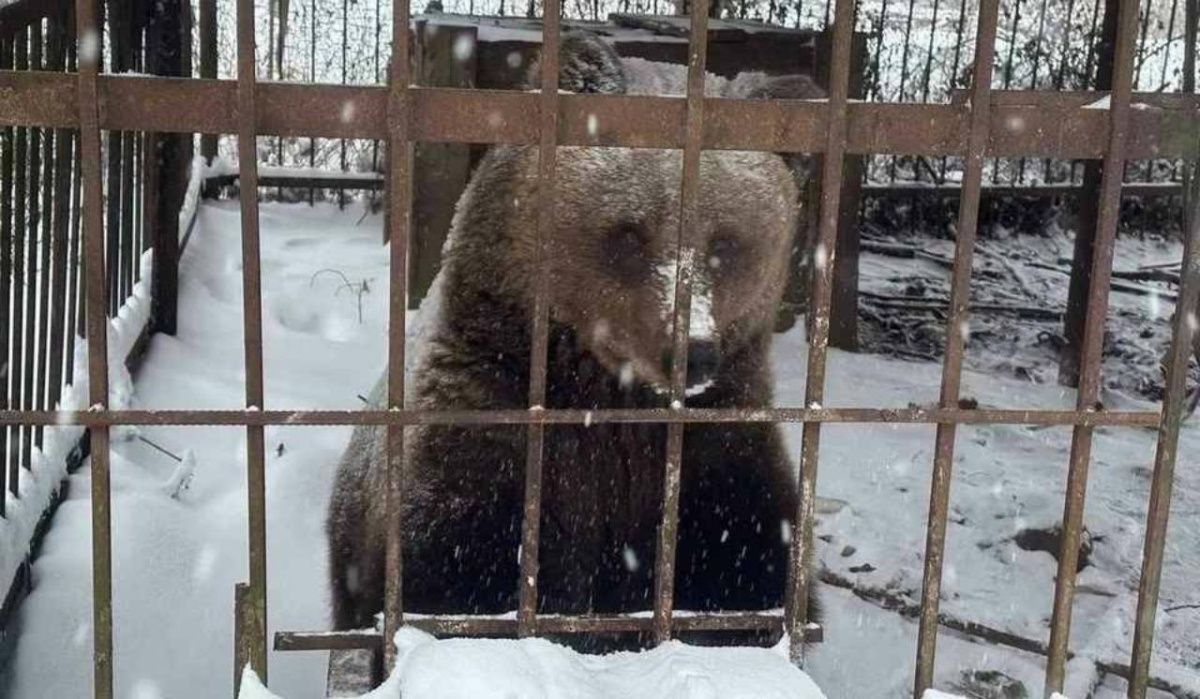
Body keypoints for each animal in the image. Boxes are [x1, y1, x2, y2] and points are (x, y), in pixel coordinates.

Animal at [324, 28, 820, 653]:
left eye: (726, 243)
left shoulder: (720, 461)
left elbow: (745, 582)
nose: (690, 352)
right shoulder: (484, 443)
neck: (610, 400)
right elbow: (457, 583)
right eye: (629, 233)